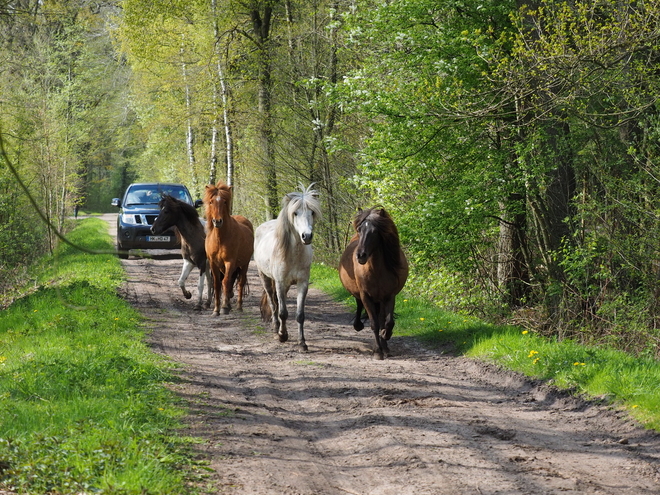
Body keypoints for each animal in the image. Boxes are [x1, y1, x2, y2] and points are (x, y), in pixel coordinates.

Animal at [202, 183, 254, 318]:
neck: (221, 238)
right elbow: (217, 284)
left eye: (224, 202)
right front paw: (216, 310)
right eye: (211, 202)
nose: (217, 221)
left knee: (240, 282)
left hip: (244, 264)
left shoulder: (229, 262)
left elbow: (225, 282)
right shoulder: (213, 263)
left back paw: (238, 306)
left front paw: (224, 307)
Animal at [253, 184, 322, 350]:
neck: (293, 254)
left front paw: (302, 342)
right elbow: (283, 312)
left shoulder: (302, 283)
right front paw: (283, 336)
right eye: (295, 213)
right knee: (272, 302)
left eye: (312, 212)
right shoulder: (279, 282)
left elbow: (300, 315)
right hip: (265, 278)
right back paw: (275, 328)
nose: (306, 236)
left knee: (277, 302)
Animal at [340, 207, 408, 358]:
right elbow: (374, 324)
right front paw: (378, 351)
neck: (376, 271)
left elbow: (388, 322)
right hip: (360, 294)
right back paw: (358, 325)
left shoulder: (389, 296)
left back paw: (385, 345)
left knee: (382, 318)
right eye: (360, 229)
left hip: (380, 300)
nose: (360, 255)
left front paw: (386, 337)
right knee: (359, 304)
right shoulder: (366, 296)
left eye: (375, 231)